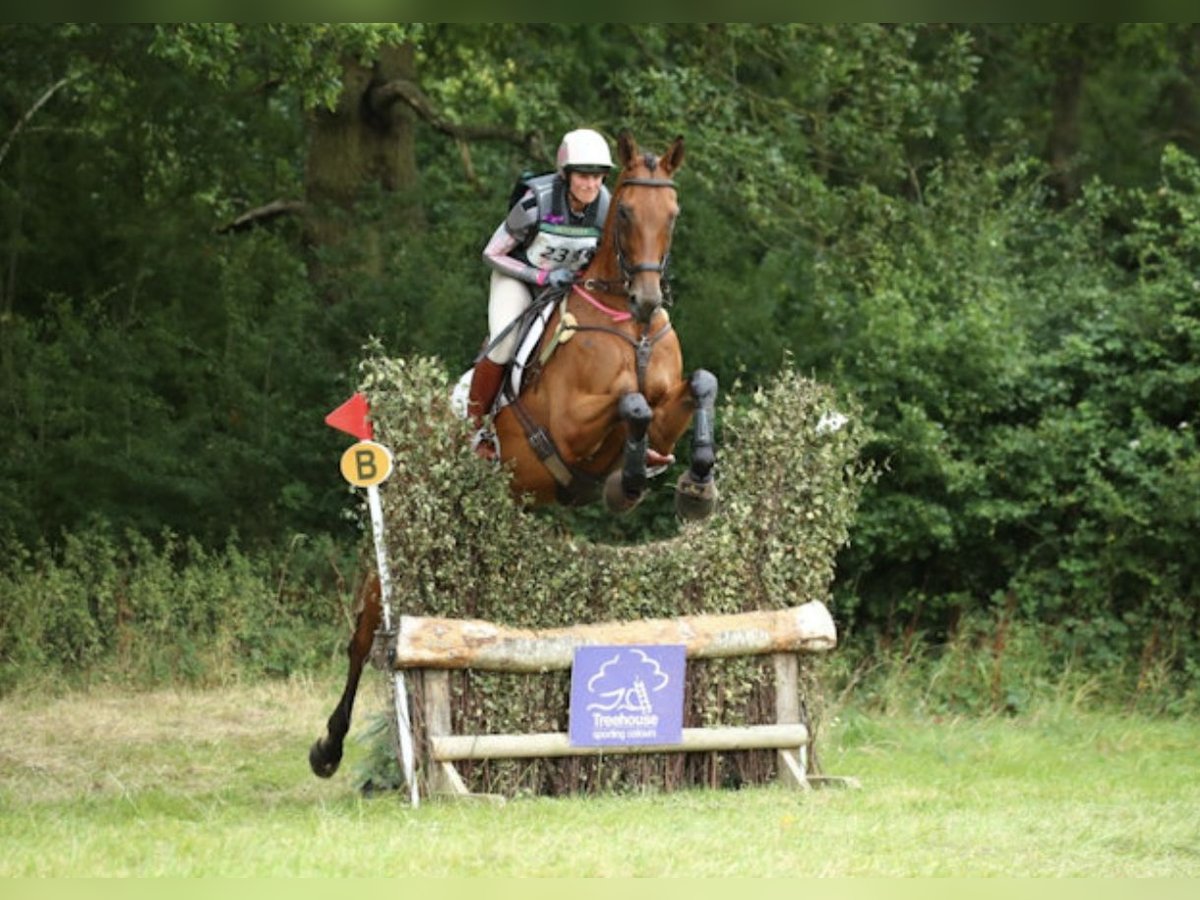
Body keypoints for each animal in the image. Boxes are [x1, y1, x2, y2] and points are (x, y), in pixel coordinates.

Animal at [314, 128, 715, 782]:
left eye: (673, 214)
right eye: (628, 212)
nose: (647, 299)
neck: (627, 328)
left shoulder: (667, 410)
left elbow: (697, 387)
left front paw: (696, 485)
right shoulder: (571, 426)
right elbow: (630, 405)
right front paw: (627, 483)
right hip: (401, 532)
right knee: (367, 631)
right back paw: (327, 748)